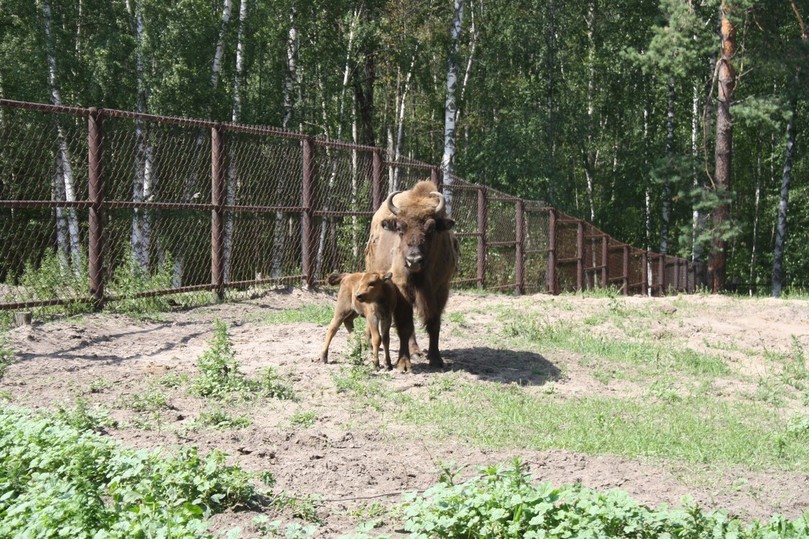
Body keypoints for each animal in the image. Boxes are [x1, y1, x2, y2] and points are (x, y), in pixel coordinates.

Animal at [362, 180, 458, 372]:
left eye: (431, 228)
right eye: (400, 228)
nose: (413, 260)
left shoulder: (441, 290)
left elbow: (434, 324)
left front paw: (436, 359)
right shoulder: (401, 290)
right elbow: (405, 326)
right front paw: (404, 363)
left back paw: (416, 351)